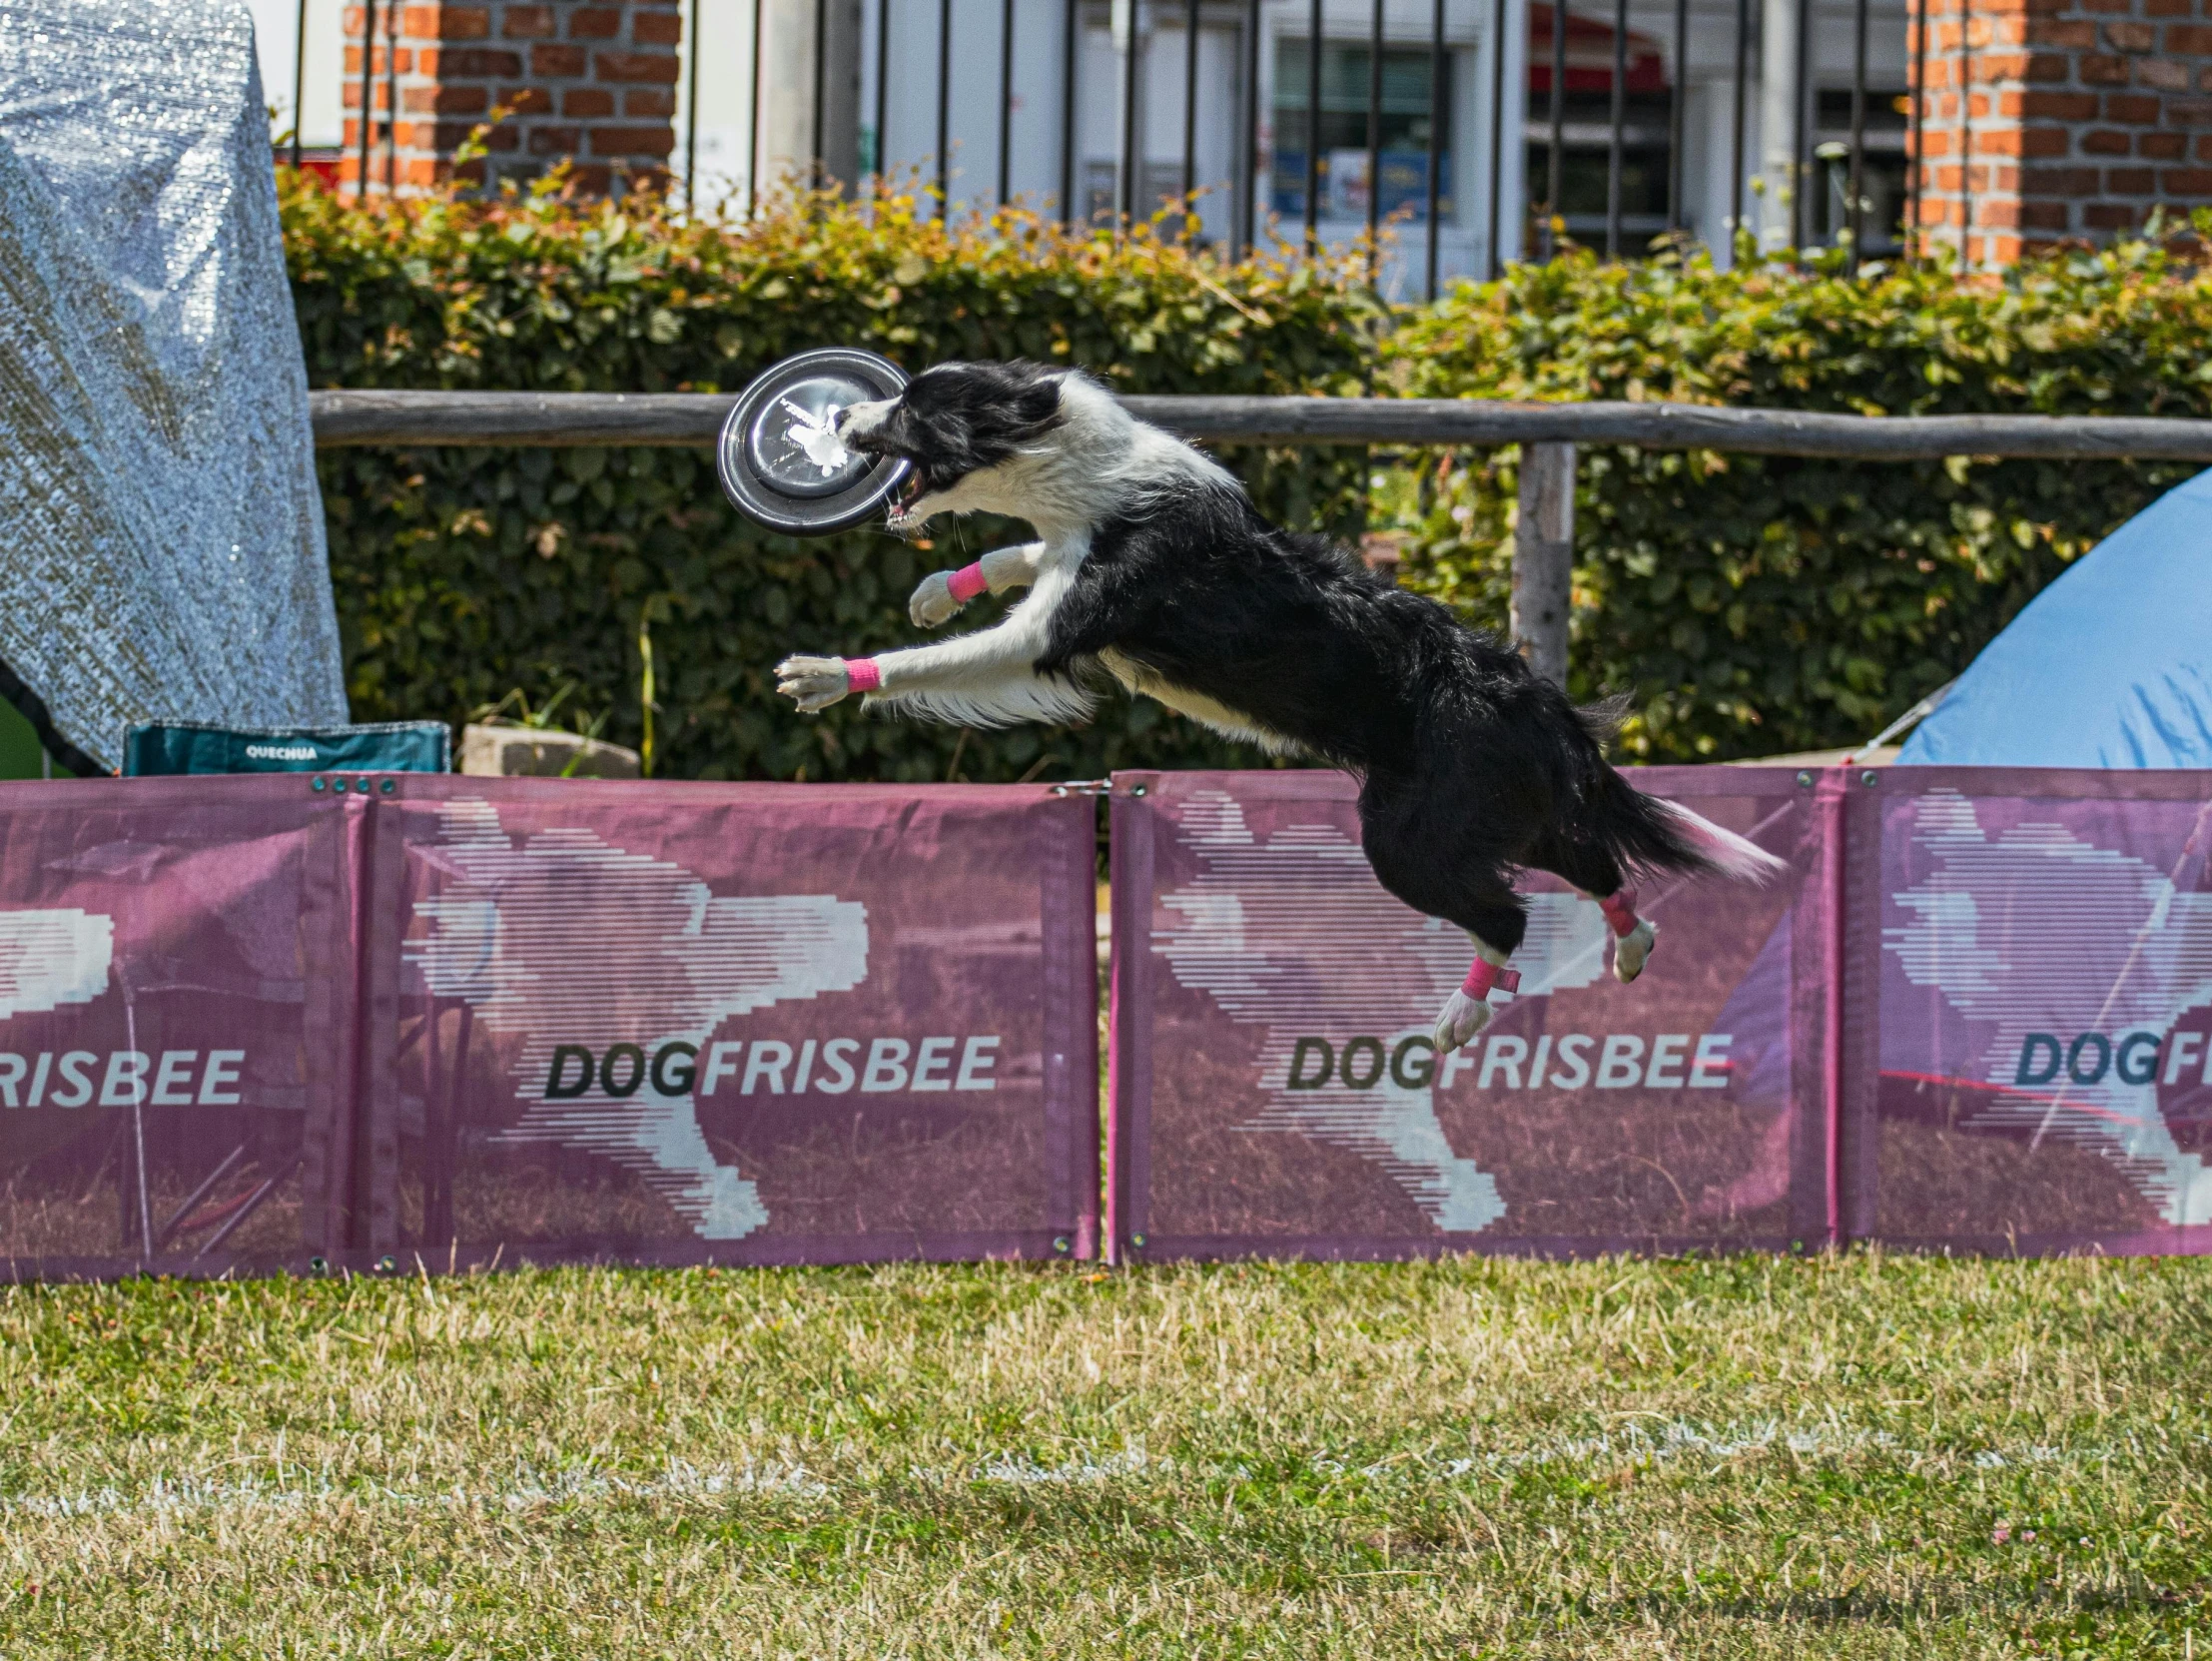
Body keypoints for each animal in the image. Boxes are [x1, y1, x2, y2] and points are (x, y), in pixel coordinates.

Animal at [778, 360, 1778, 1053]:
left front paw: (830, 671)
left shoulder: (1061, 628)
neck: (1080, 472)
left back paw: (1458, 1016)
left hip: (1408, 834)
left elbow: (946, 658)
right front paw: (940, 588)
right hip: (1498, 813)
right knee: (1593, 861)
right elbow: (1014, 556)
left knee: (1510, 913)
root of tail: (1541, 700)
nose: (843, 416)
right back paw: (1631, 940)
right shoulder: (1062, 557)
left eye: (912, 409)